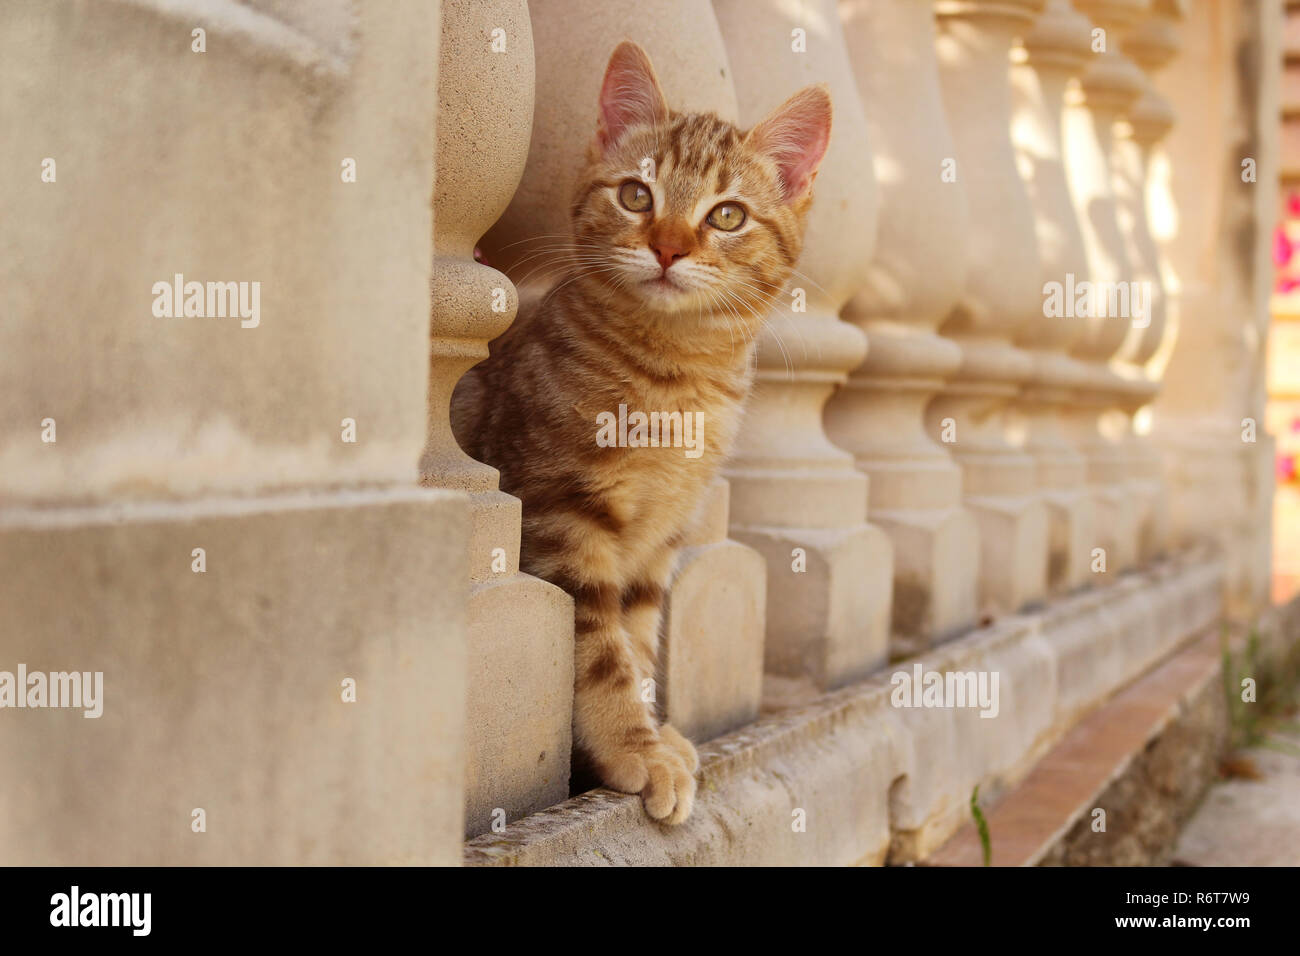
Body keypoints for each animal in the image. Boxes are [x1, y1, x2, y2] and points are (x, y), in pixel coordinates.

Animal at [452, 42, 826, 822]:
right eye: (635, 196)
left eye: (728, 215)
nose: (669, 247)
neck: (674, 380)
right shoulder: (562, 516)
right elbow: (601, 651)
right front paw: (634, 747)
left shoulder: (658, 541)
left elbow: (639, 639)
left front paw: (651, 735)